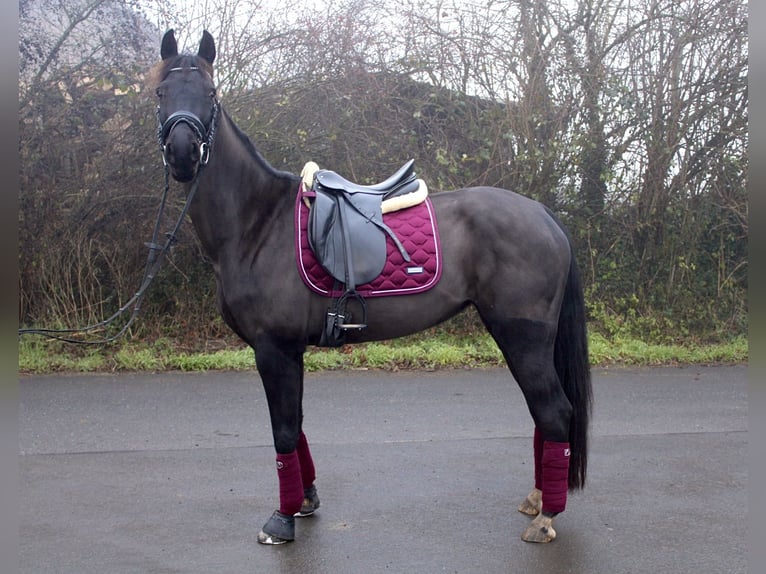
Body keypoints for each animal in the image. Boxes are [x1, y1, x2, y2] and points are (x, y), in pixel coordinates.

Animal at [152, 29, 592, 548]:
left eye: (210, 94)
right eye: (161, 93)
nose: (182, 153)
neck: (258, 223)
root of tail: (543, 214)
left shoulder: (273, 348)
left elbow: (283, 430)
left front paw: (281, 519)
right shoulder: (288, 351)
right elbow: (296, 426)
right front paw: (304, 501)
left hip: (522, 335)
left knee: (554, 411)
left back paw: (547, 517)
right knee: (545, 414)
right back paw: (539, 501)